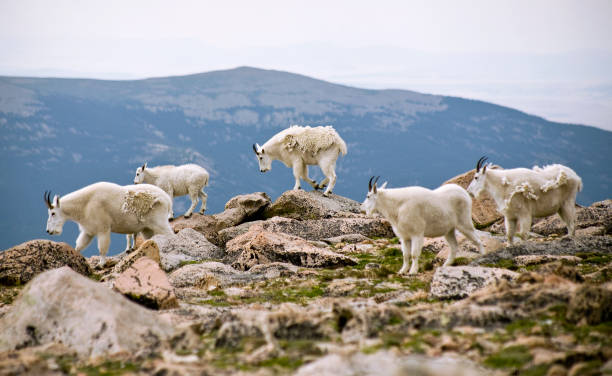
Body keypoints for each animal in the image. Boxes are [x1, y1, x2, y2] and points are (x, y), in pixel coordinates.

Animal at [44, 183, 173, 268]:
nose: (49, 231)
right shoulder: (88, 231)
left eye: (53, 213)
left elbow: (102, 248)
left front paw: (101, 264)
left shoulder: (103, 229)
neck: (85, 204)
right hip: (147, 228)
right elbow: (79, 246)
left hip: (160, 222)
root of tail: (167, 200)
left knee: (170, 235)